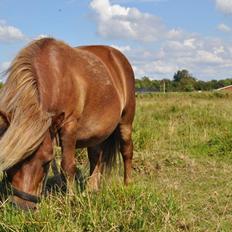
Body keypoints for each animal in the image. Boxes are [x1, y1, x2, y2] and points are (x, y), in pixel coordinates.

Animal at [0, 37, 136, 208]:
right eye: (11, 162)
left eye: (46, 161)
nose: (23, 207)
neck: (55, 76)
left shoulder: (69, 126)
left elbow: (67, 166)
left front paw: (70, 199)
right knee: (96, 157)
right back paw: (90, 190)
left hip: (126, 122)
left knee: (126, 151)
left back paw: (127, 185)